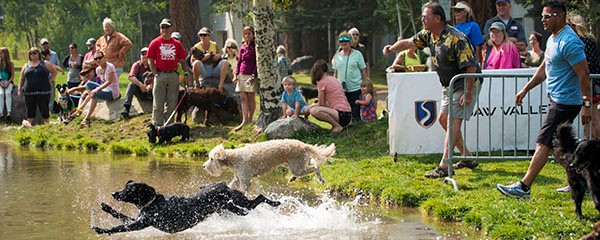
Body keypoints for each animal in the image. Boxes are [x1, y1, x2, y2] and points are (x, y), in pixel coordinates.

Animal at [92, 180, 280, 234]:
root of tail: (223, 185)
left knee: (260, 198)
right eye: (124, 187)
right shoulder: (138, 219)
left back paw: (276, 203)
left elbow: (118, 227)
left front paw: (101, 229)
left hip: (242, 206)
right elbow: (119, 216)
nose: (114, 193)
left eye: (129, 190)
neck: (152, 203)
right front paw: (105, 207)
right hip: (228, 209)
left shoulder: (139, 224)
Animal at [203, 139, 336, 193]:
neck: (232, 159)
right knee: (309, 167)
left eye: (211, 158)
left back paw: (320, 179)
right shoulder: (238, 178)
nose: (204, 166)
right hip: (293, 164)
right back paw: (292, 178)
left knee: (315, 168)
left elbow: (242, 190)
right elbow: (231, 185)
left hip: (297, 167)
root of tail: (304, 145)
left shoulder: (245, 180)